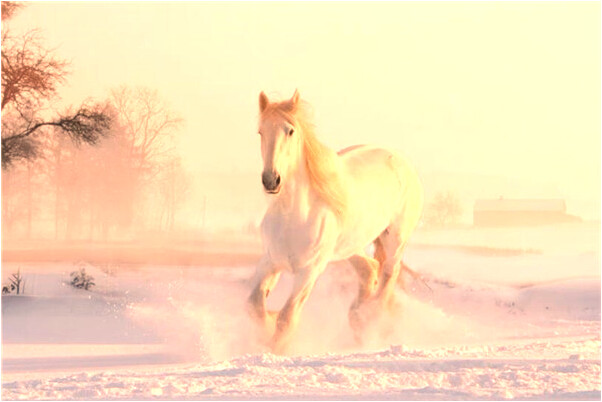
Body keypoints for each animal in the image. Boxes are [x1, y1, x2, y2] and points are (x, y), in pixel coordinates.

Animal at [244, 90, 422, 352]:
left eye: (290, 131)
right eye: (261, 131)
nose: (271, 180)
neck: (293, 217)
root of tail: (401, 161)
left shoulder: (309, 271)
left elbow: (287, 318)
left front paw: (274, 350)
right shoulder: (270, 261)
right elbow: (255, 305)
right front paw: (267, 327)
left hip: (395, 239)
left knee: (389, 274)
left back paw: (371, 320)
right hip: (349, 246)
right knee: (370, 269)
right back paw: (357, 319)